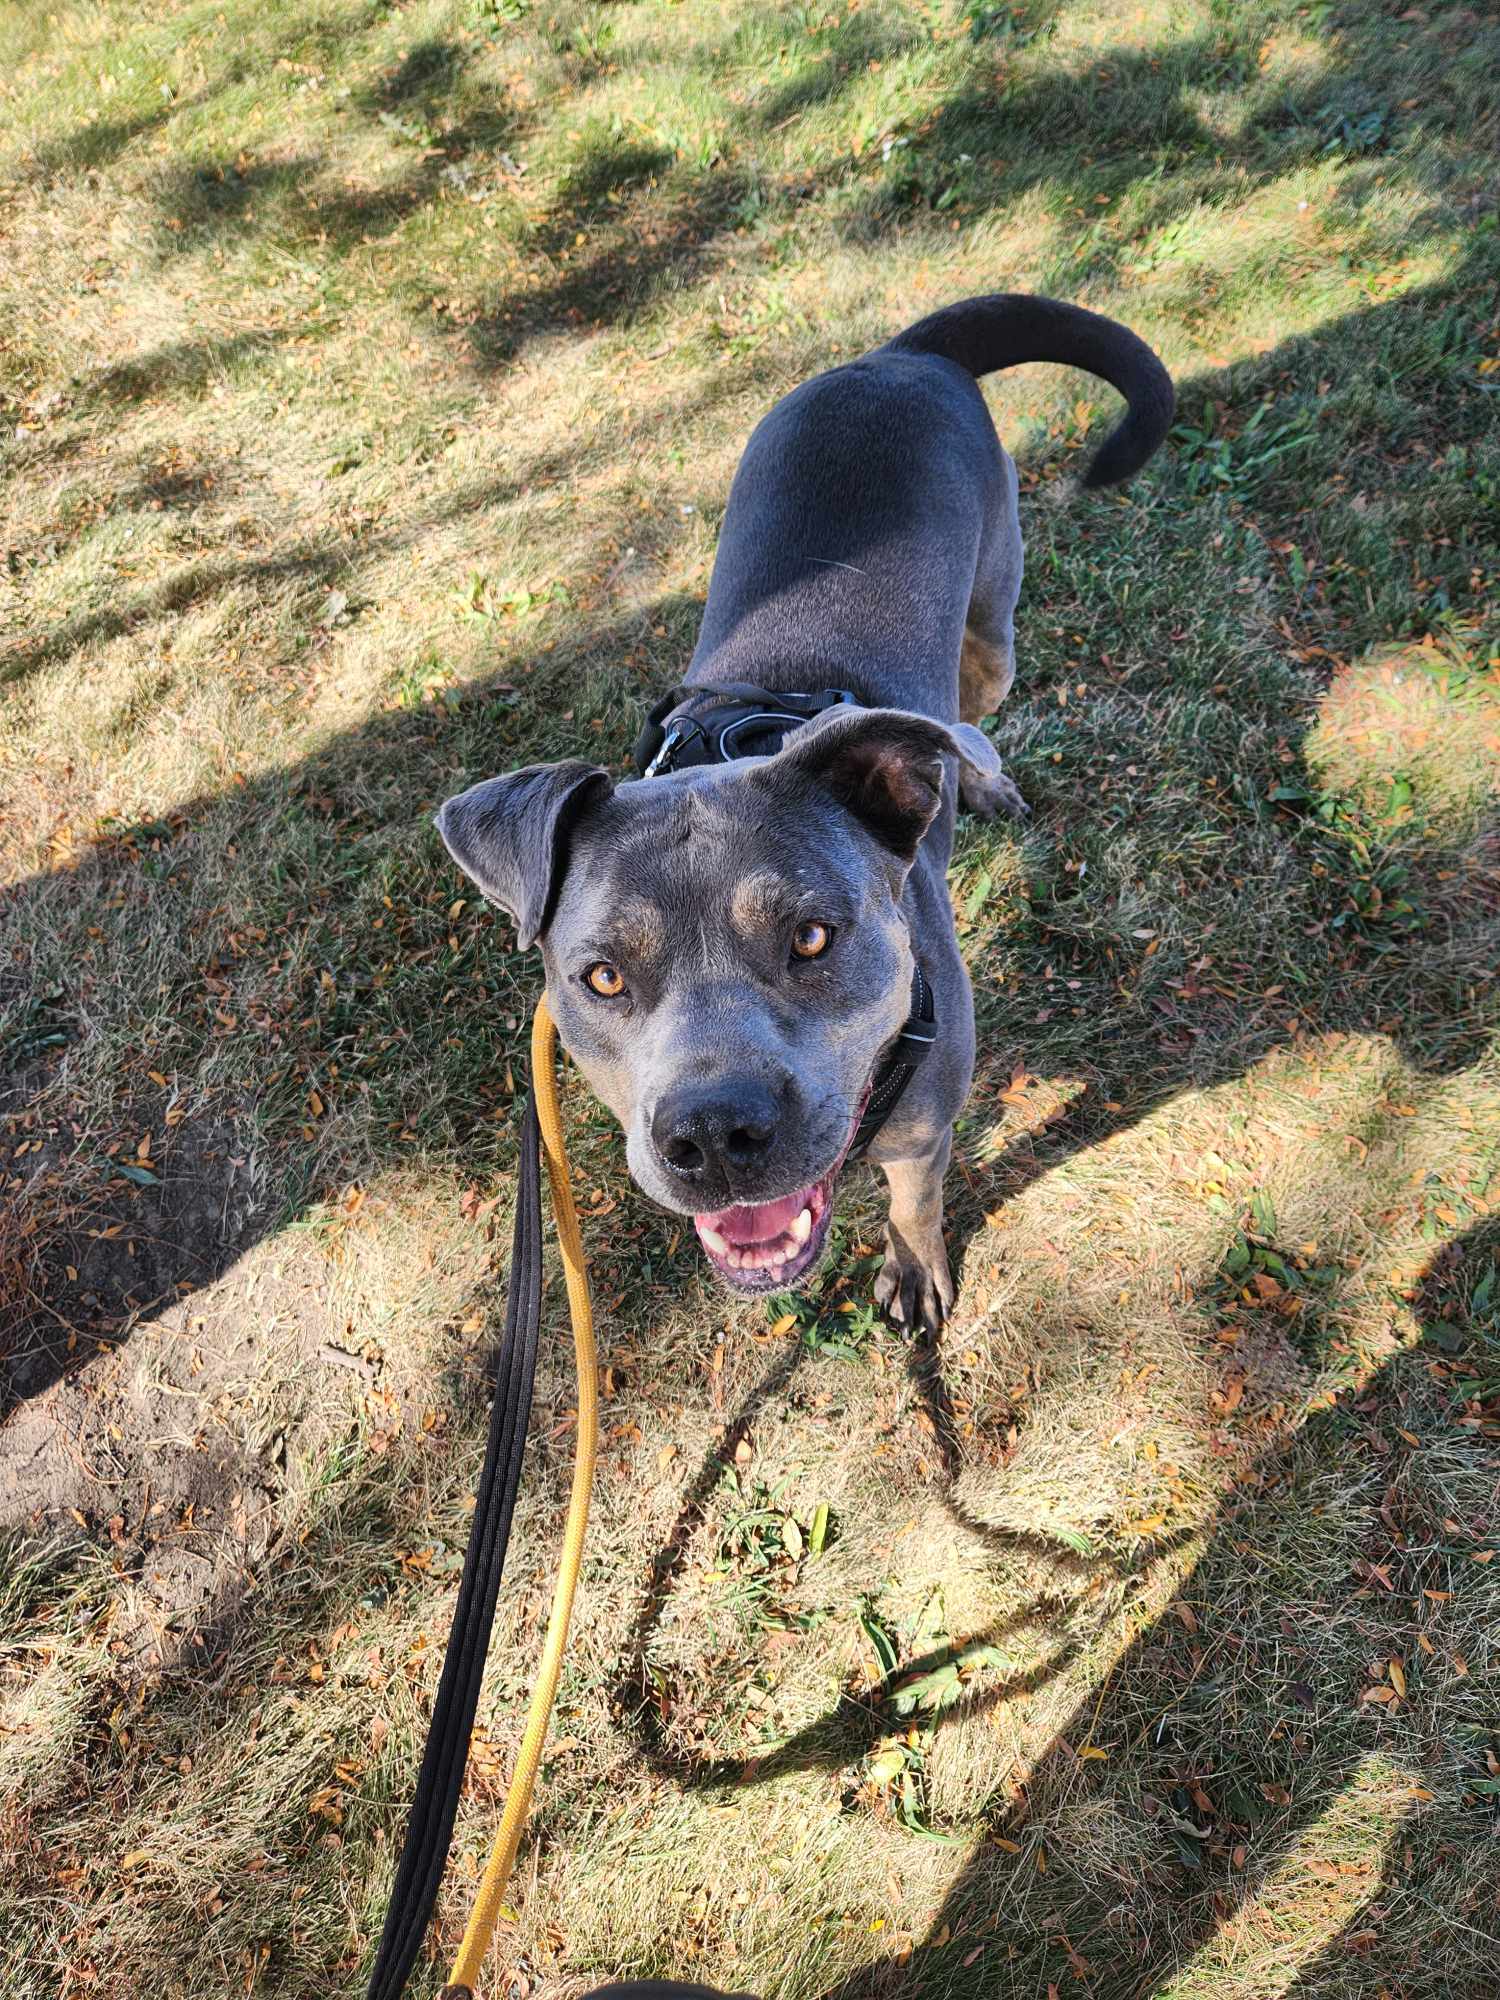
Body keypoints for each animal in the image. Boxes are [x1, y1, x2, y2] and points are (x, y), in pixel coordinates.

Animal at [440, 292, 1184, 1328]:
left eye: (813, 938)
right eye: (602, 978)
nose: (712, 1135)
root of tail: (898, 356)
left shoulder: (924, 1127)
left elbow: (914, 1198)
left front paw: (914, 1271)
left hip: (993, 627)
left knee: (970, 711)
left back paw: (982, 780)